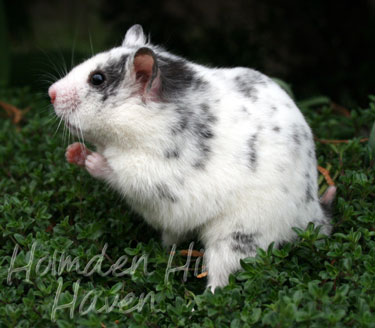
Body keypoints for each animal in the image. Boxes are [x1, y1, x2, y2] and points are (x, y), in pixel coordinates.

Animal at [49, 25, 338, 290]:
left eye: (97, 79)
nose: (50, 92)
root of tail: (312, 213)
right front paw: (73, 152)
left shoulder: (153, 175)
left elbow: (117, 170)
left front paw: (91, 160)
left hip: (237, 237)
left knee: (223, 277)